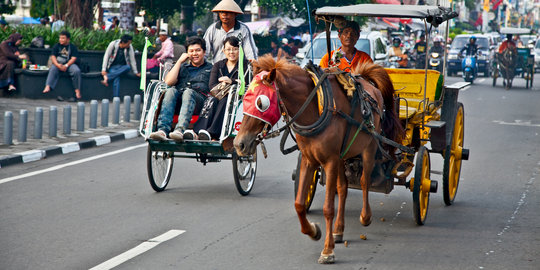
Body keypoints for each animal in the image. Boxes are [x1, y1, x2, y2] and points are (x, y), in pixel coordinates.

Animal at [234, 54, 402, 264]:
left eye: (261, 103)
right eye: (245, 98)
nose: (239, 144)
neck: (316, 108)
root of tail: (366, 80)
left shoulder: (330, 161)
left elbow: (328, 208)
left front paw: (327, 250)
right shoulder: (309, 160)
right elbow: (299, 204)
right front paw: (314, 231)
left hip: (370, 146)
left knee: (364, 181)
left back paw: (365, 217)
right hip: (342, 156)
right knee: (343, 188)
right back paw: (338, 230)